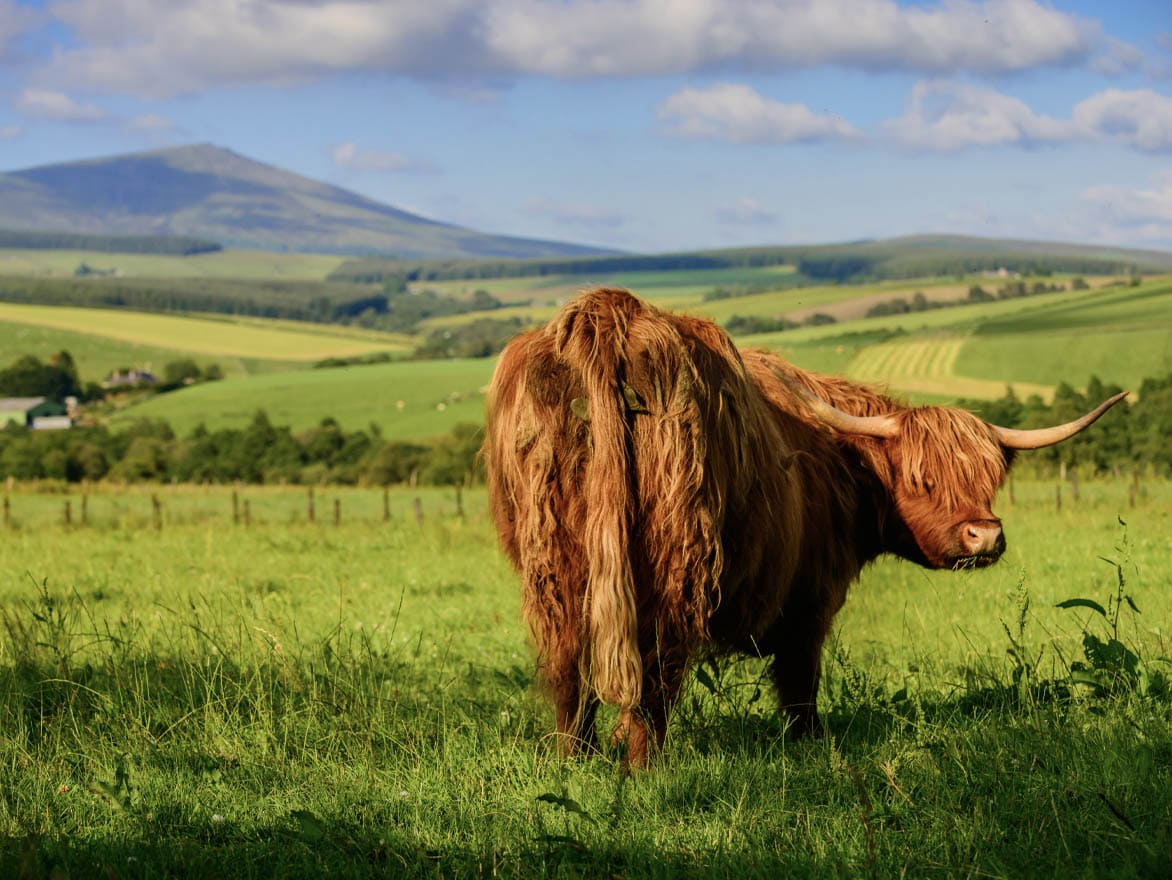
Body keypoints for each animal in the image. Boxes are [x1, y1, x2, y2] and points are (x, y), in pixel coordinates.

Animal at [483, 287, 1125, 766]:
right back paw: (646, 768)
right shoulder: (811, 601)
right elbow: (800, 684)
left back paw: (576, 759)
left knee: (570, 670)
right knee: (653, 673)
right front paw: (811, 746)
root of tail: (613, 314)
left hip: (555, 569)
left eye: (989, 478)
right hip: (673, 563)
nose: (985, 536)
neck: (843, 460)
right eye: (921, 480)